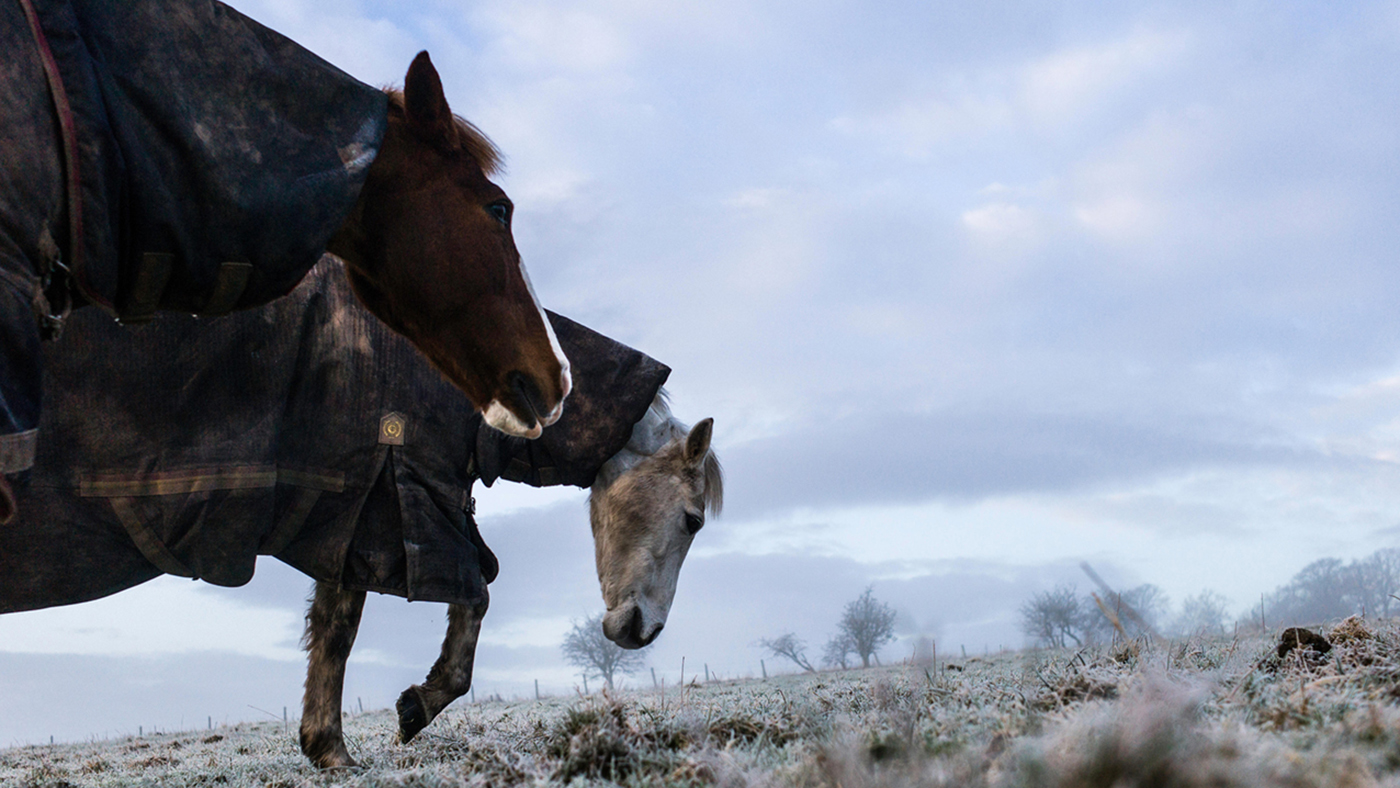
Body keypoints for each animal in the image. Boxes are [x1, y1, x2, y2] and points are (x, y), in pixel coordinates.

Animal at [300, 394, 723, 769]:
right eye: (693, 521)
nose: (646, 631)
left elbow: (474, 599)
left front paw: (416, 708)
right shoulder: (369, 512)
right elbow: (337, 630)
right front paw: (331, 752)